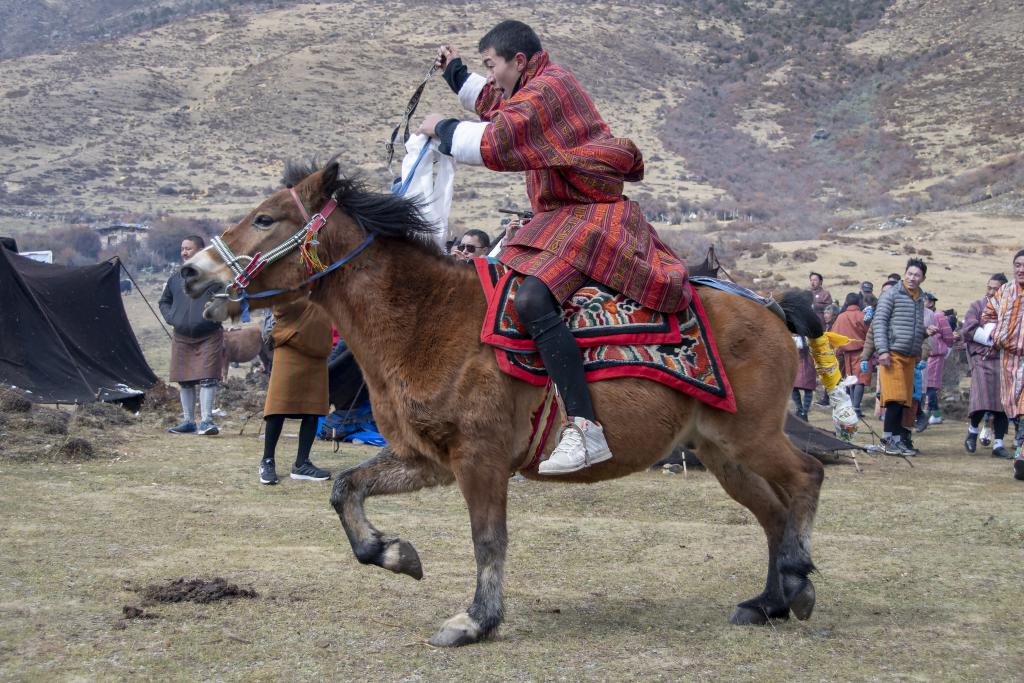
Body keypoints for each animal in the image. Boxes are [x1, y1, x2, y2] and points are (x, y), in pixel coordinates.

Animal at [182, 160, 823, 647]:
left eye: (265, 218)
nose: (190, 271)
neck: (428, 318)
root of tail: (769, 307)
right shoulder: (425, 458)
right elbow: (346, 489)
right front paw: (393, 553)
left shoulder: (479, 458)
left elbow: (488, 539)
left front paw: (476, 620)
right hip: (721, 453)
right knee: (773, 512)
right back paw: (767, 602)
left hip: (753, 437)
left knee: (806, 477)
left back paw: (798, 581)